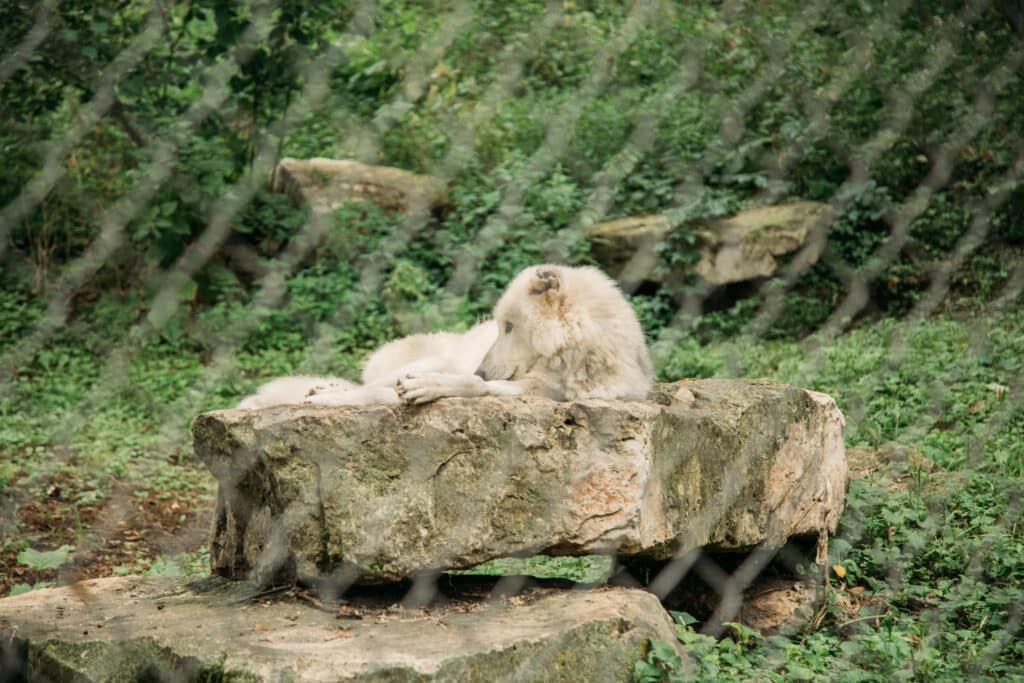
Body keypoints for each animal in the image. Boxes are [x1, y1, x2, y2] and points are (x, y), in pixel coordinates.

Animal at [235, 264, 651, 409]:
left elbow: (474, 387)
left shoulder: (540, 392)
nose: (482, 370)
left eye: (510, 327)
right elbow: (467, 381)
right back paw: (321, 393)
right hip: (430, 357)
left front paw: (430, 388)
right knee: (367, 387)